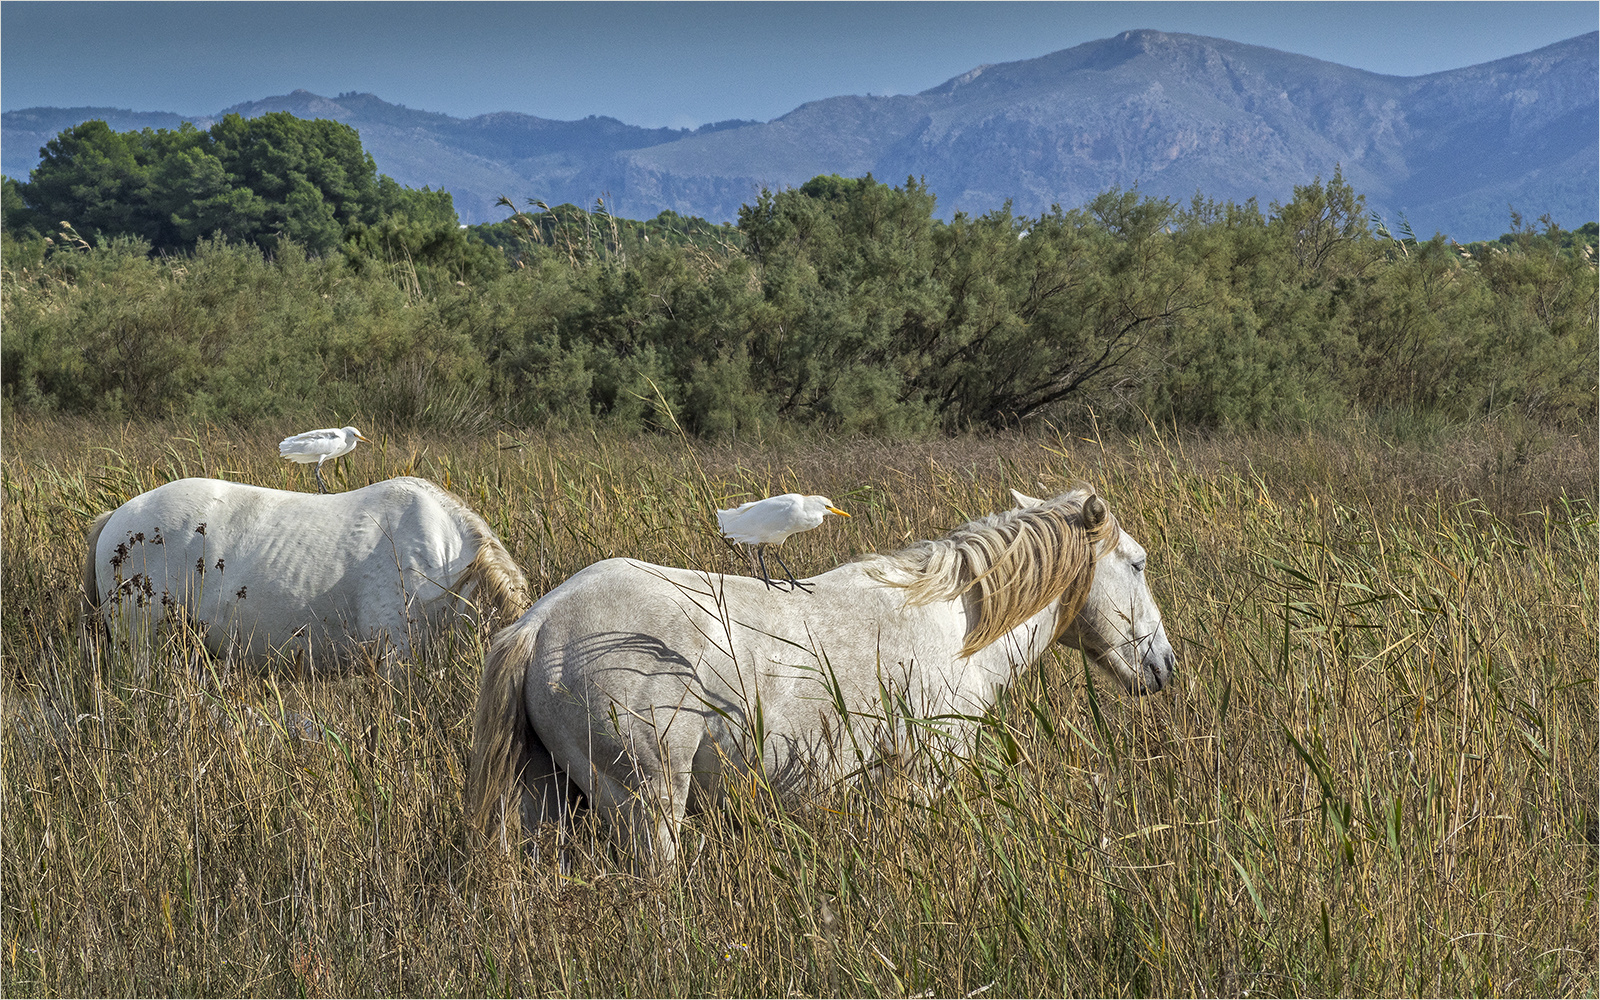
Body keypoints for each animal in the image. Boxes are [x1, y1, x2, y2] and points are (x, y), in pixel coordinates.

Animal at [464, 486, 1177, 864]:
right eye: (1139, 563)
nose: (1164, 665)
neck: (953, 627)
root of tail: (540, 622)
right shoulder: (924, 779)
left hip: (546, 799)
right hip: (648, 804)